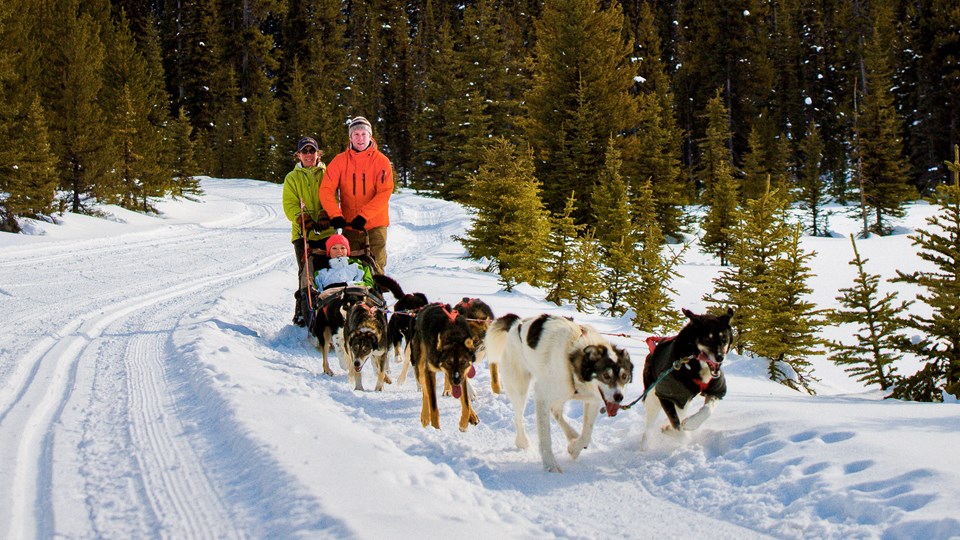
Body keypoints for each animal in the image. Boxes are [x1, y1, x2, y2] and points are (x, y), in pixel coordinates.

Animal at [488, 312, 632, 472]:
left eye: (624, 376)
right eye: (606, 375)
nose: (619, 397)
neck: (572, 359)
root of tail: (517, 323)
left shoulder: (592, 400)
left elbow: (586, 434)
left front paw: (574, 448)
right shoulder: (542, 395)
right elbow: (545, 437)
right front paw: (550, 464)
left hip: (562, 393)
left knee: (556, 411)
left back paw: (572, 435)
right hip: (520, 388)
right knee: (519, 417)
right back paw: (522, 441)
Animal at [644, 306, 736, 450]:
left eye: (724, 338)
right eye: (707, 339)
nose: (720, 357)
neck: (693, 364)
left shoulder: (716, 390)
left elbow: (707, 410)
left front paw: (690, 424)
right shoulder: (665, 395)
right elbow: (677, 426)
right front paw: (678, 433)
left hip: (684, 400)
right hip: (653, 396)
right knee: (649, 424)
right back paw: (645, 443)